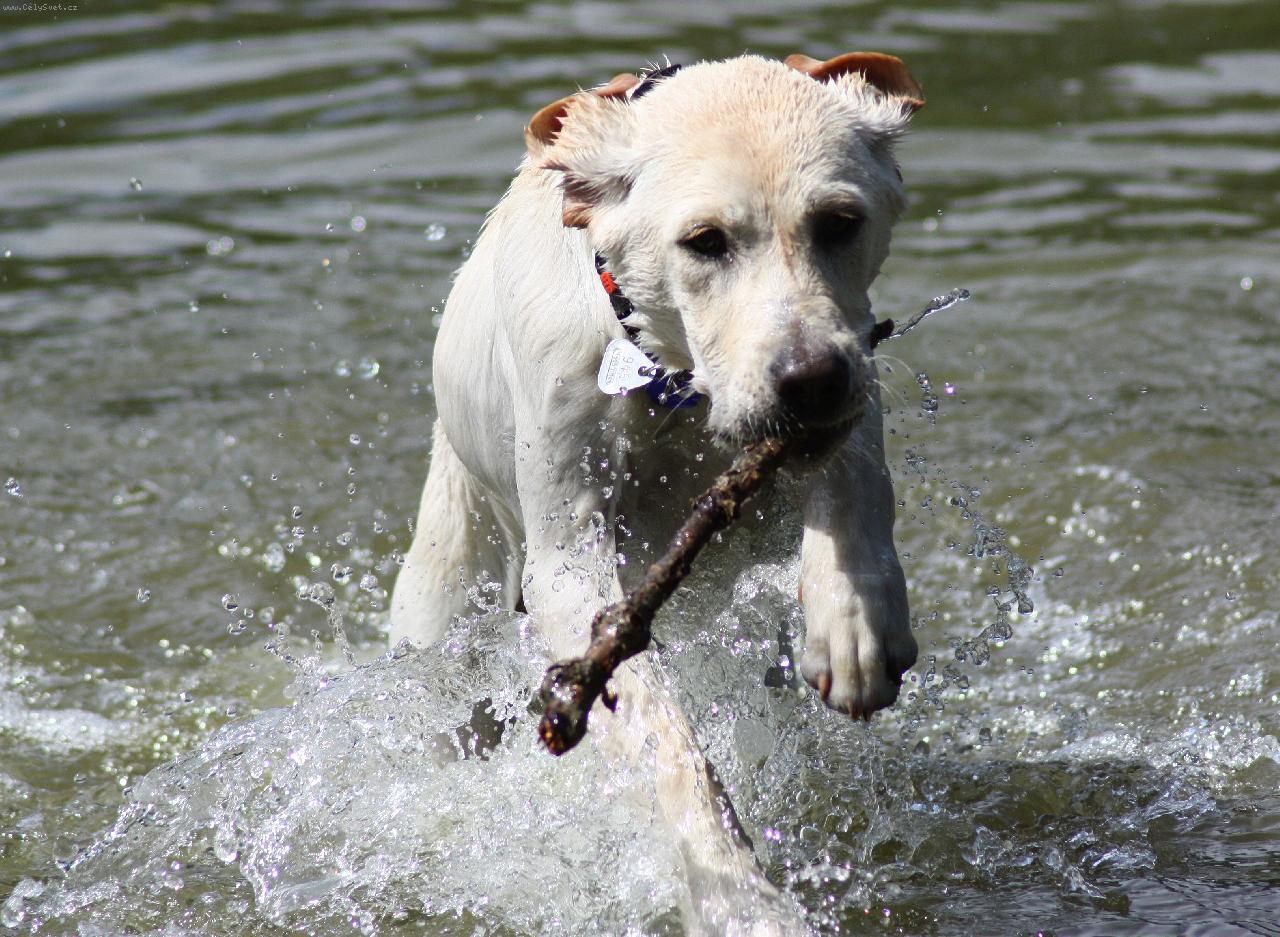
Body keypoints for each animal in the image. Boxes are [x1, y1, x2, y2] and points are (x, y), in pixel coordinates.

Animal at [391, 52, 923, 935]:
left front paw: (854, 621)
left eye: (839, 222)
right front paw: (735, 894)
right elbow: (668, 738)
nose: (809, 380)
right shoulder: (567, 565)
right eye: (704, 242)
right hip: (444, 620)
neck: (672, 382)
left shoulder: (858, 374)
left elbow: (855, 477)